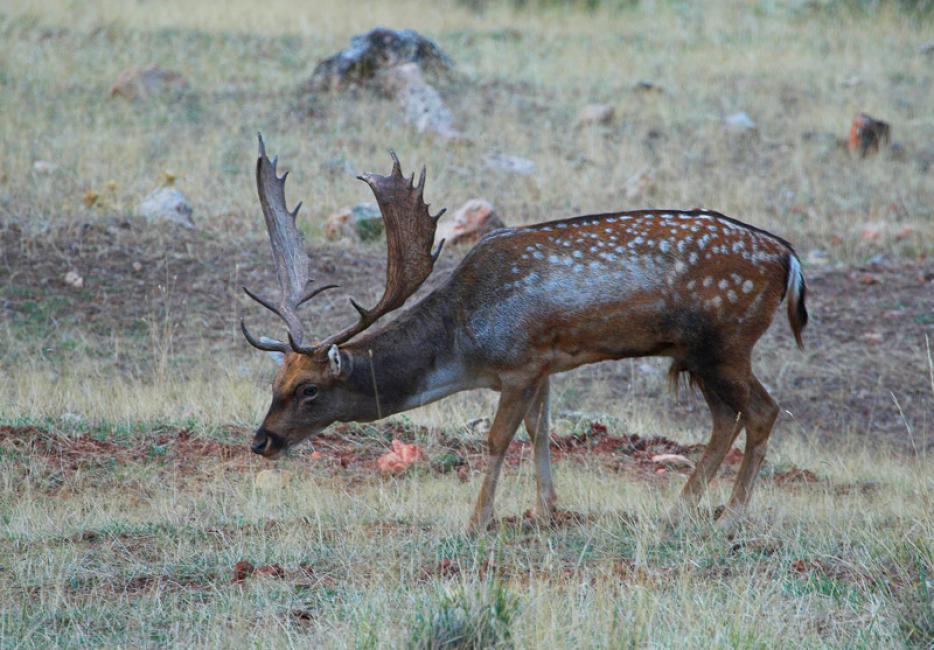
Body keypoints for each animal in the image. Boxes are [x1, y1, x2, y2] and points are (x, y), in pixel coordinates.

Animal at [245, 134, 808, 528]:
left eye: (308, 389)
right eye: (274, 383)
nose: (261, 440)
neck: (465, 342)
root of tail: (789, 258)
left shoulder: (518, 364)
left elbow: (498, 438)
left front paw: (477, 520)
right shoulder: (545, 363)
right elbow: (541, 431)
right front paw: (547, 510)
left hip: (727, 342)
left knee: (763, 411)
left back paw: (729, 516)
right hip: (695, 354)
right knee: (726, 418)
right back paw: (680, 508)